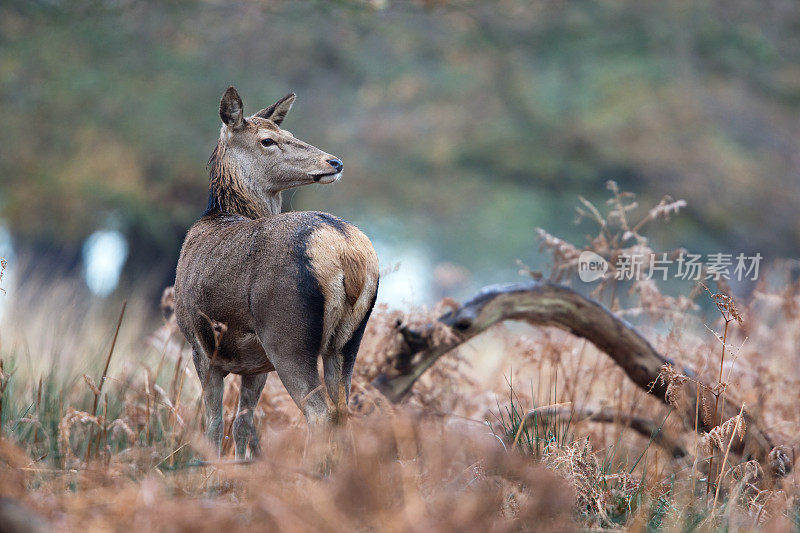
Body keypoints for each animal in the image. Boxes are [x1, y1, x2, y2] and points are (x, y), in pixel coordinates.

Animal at [173, 86, 380, 458]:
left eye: (289, 133)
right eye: (268, 140)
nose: (334, 162)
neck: (221, 213)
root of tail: (346, 251)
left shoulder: (200, 346)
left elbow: (214, 425)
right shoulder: (255, 364)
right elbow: (243, 424)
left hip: (287, 335)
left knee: (320, 413)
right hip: (348, 339)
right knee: (343, 411)